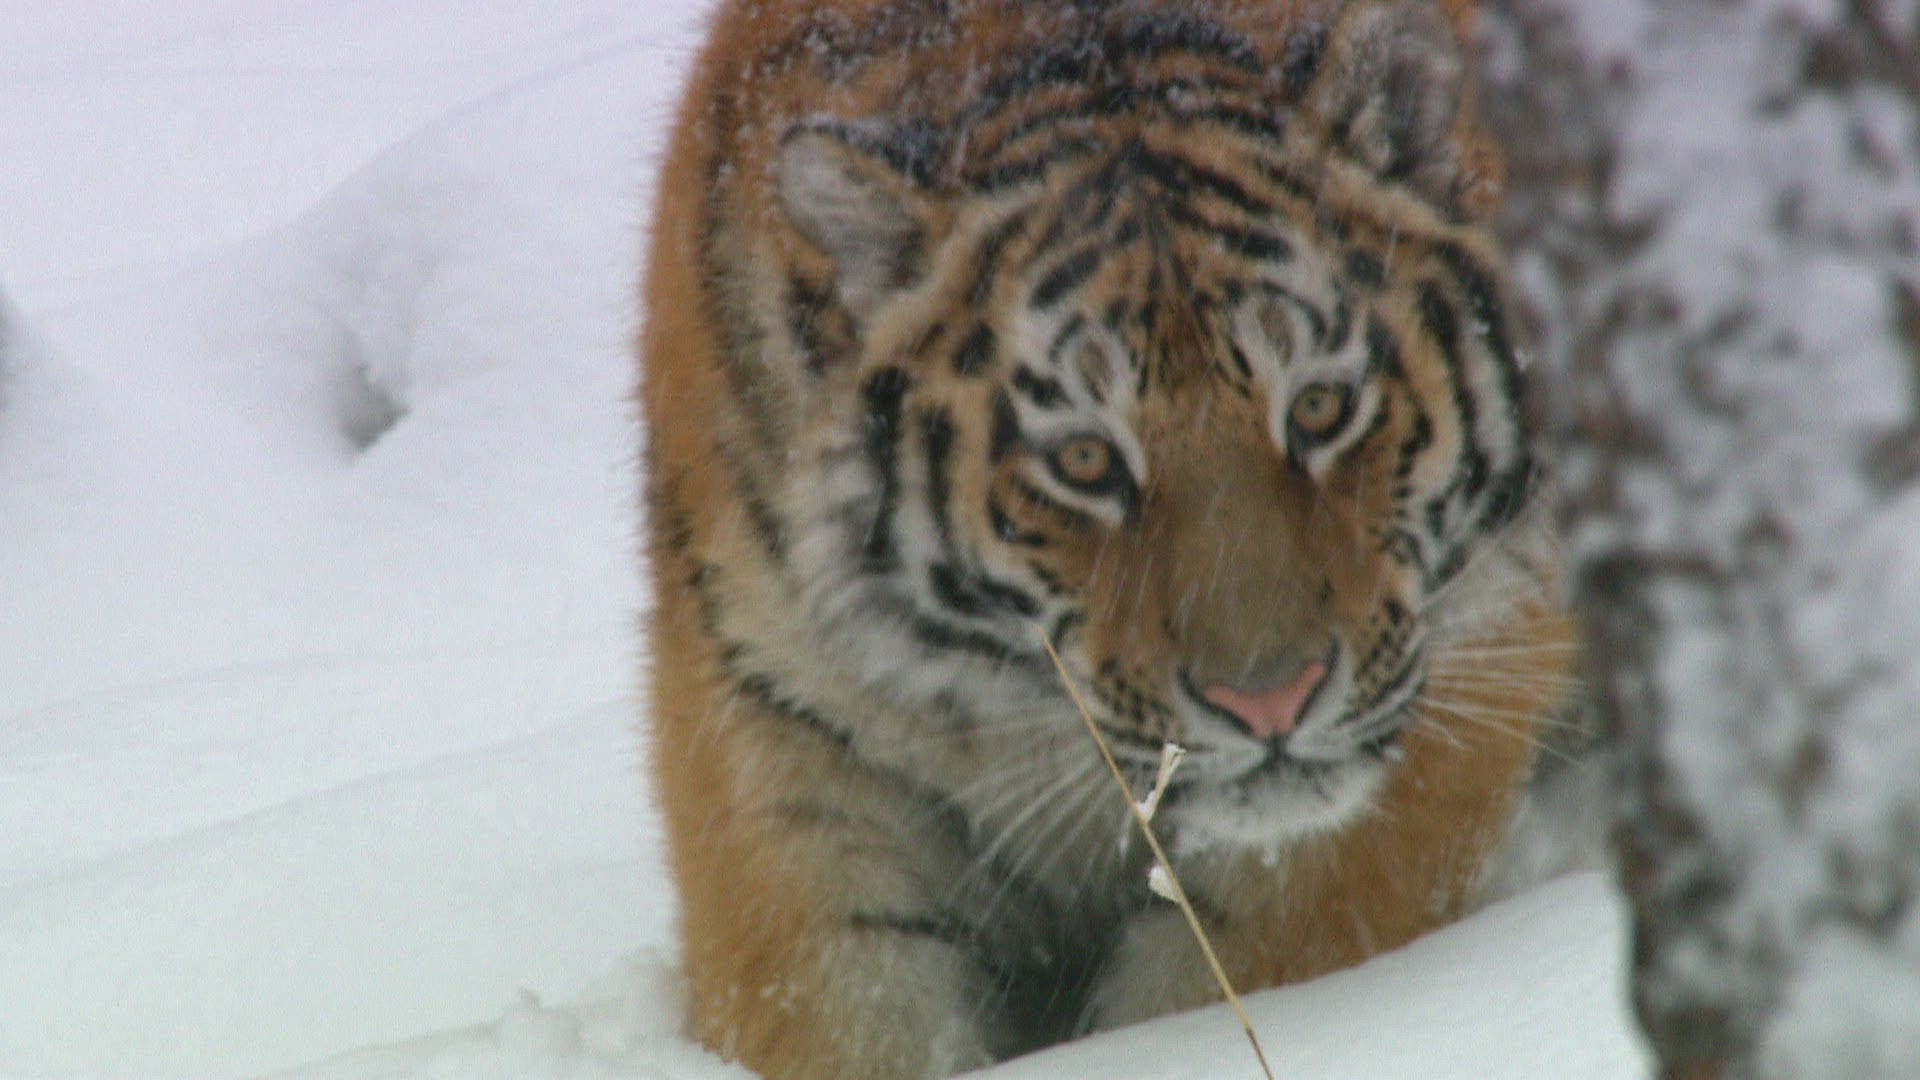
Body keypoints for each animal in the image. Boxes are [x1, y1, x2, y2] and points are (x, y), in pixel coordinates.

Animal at [638, 1, 1578, 1078]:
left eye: (1322, 407)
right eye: (1085, 460)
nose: (1270, 703)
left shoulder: (1464, 660)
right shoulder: (778, 730)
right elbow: (834, 999)